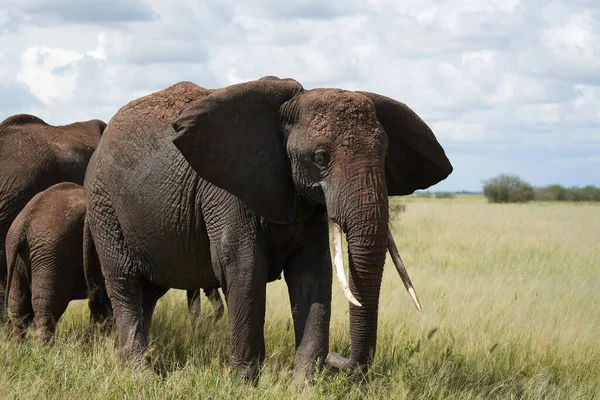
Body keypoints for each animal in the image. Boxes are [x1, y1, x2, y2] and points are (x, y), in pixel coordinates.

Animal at [5, 183, 112, 342]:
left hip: (21, 255)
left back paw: (18, 347)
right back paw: (42, 348)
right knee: (48, 307)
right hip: (53, 253)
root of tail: (23, 224)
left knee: (19, 305)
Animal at [83, 76, 450, 382]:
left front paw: (305, 384)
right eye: (320, 157)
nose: (336, 359)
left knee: (148, 293)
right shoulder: (227, 191)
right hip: (104, 205)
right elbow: (244, 266)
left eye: (385, 154)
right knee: (126, 284)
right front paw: (243, 383)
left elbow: (312, 274)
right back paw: (141, 377)